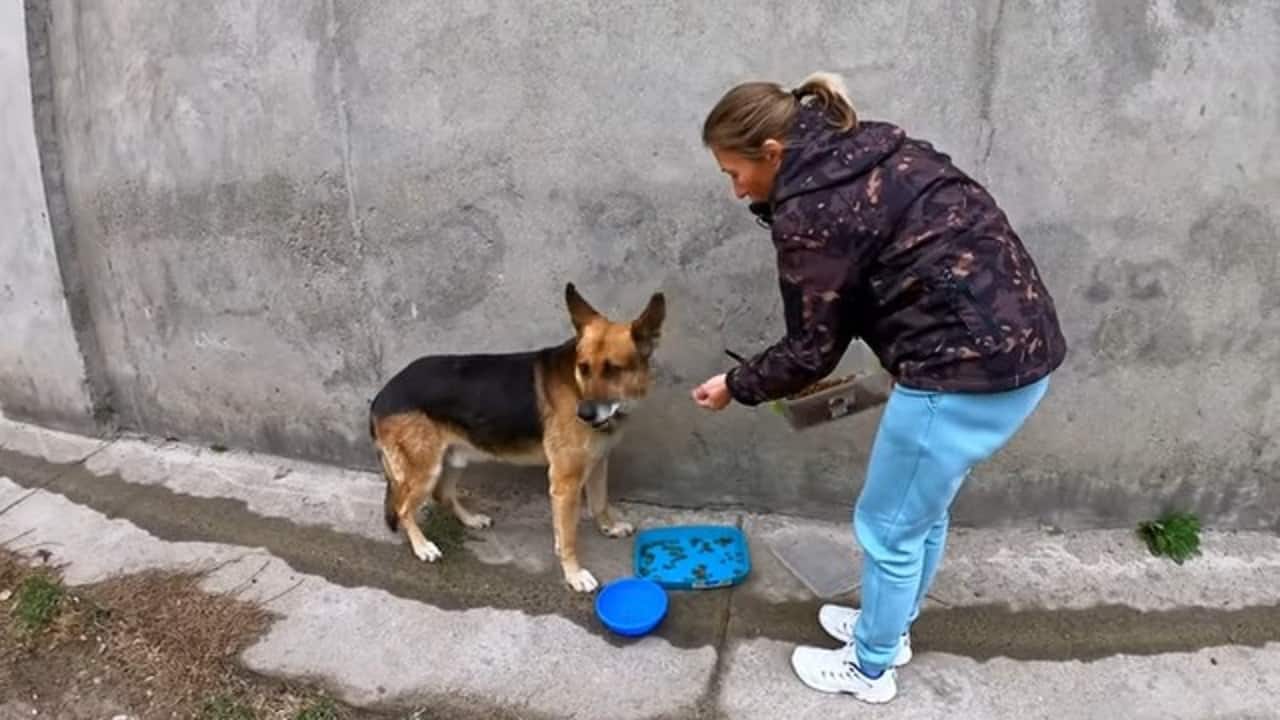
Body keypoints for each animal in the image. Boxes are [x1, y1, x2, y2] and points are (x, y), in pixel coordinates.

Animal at [368, 283, 665, 591]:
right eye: (583, 367)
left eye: (613, 369)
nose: (583, 414)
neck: (577, 385)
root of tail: (381, 396)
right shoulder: (565, 483)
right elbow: (568, 536)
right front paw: (573, 573)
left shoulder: (597, 463)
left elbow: (599, 502)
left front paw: (609, 526)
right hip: (425, 470)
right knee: (403, 508)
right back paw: (422, 546)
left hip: (454, 459)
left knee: (442, 494)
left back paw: (470, 519)